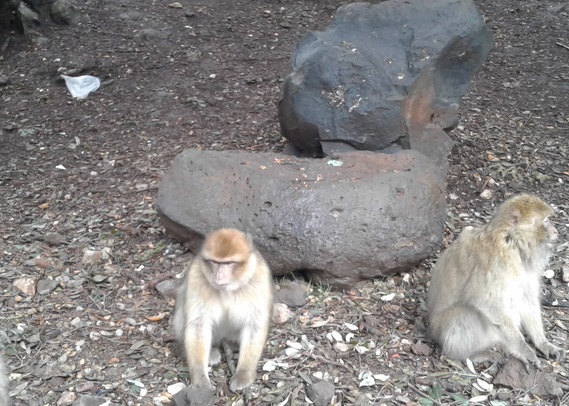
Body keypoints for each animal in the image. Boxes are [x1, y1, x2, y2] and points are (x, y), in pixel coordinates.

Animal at [171, 228, 272, 390]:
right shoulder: (196, 277)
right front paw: (200, 377)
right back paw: (211, 352)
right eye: (215, 262)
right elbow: (198, 324)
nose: (219, 276)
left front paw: (244, 372)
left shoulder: (259, 278)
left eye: (229, 263)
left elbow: (254, 324)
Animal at [426, 193, 564, 372]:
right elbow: (485, 300)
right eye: (546, 221)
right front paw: (526, 351)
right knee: (465, 313)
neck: (511, 241)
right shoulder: (498, 261)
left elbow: (526, 298)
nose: (555, 231)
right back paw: (469, 354)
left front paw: (542, 343)